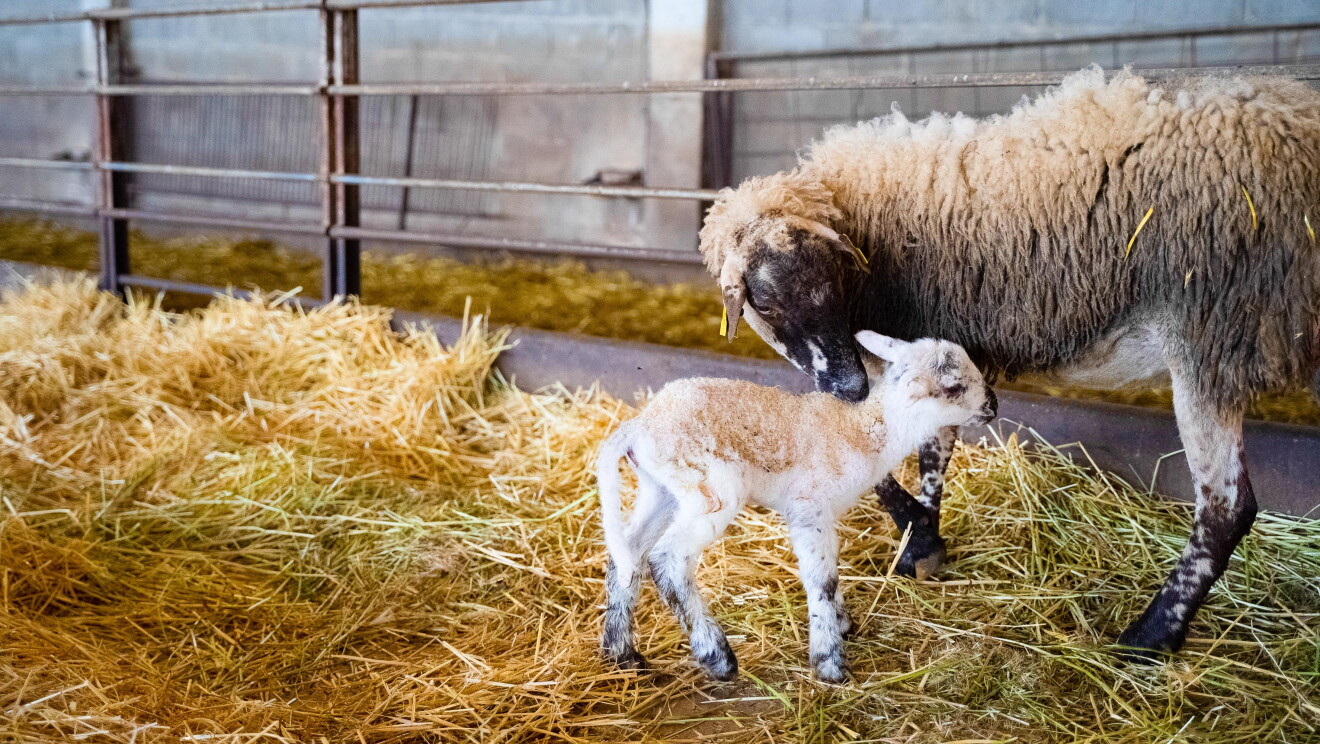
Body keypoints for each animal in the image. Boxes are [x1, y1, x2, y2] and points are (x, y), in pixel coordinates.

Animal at [597, 331, 997, 682]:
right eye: (954, 387)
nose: (992, 405)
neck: (861, 432)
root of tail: (640, 425)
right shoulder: (809, 507)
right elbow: (822, 579)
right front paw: (829, 662)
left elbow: (830, 572)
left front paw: (841, 625)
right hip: (710, 489)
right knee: (667, 559)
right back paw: (717, 657)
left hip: (662, 490)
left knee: (627, 554)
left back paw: (623, 655)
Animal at [696, 66, 1320, 661]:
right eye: (765, 302)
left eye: (835, 278)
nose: (849, 385)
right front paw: (924, 539)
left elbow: (918, 455)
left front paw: (920, 541)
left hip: (1212, 332)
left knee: (1226, 508)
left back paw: (1150, 637)